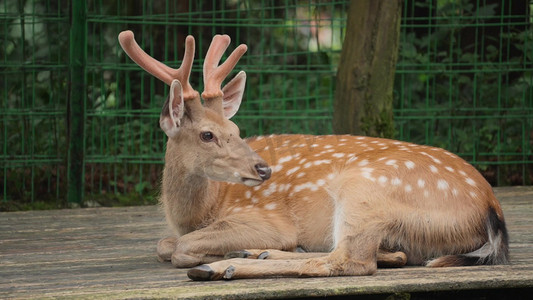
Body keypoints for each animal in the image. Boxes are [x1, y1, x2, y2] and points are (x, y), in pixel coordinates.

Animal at [118, 31, 510, 282]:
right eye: (208, 134)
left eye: (236, 129)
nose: (263, 169)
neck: (200, 211)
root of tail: (491, 208)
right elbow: (164, 243)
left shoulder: (266, 219)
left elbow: (178, 247)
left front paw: (213, 255)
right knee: (383, 254)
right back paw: (254, 254)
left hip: (365, 188)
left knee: (350, 261)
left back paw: (222, 266)